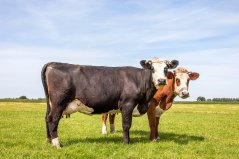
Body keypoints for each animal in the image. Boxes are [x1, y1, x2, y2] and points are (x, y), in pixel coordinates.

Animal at [42, 58, 178, 148]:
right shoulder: (128, 104)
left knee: (47, 118)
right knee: (53, 119)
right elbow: (126, 125)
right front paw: (126, 142)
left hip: (50, 103)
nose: (161, 80)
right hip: (58, 102)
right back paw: (56, 144)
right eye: (152, 68)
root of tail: (53, 63)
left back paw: (48, 141)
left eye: (166, 68)